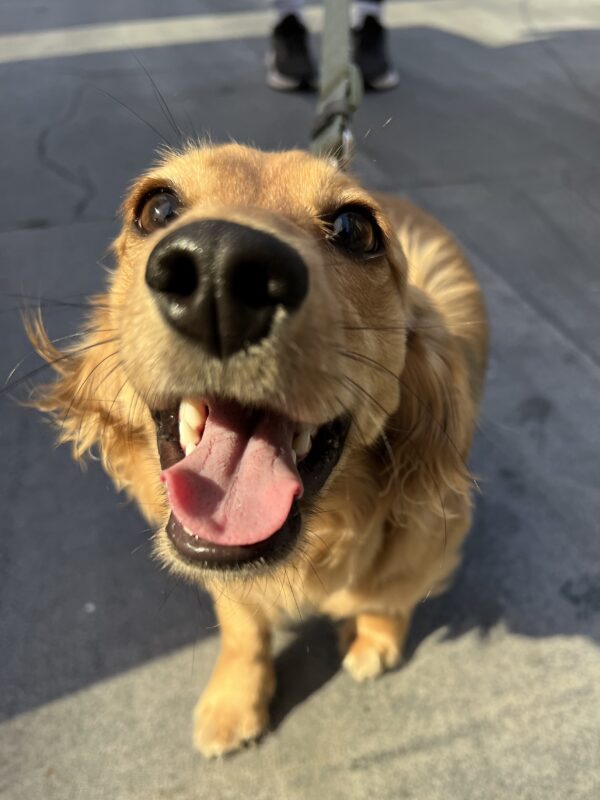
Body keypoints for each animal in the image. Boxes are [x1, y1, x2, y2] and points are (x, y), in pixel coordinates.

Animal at [27, 142, 488, 756]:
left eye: (356, 228)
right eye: (156, 207)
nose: (219, 272)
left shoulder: (431, 536)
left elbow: (390, 593)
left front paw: (375, 636)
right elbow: (244, 628)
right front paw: (234, 701)